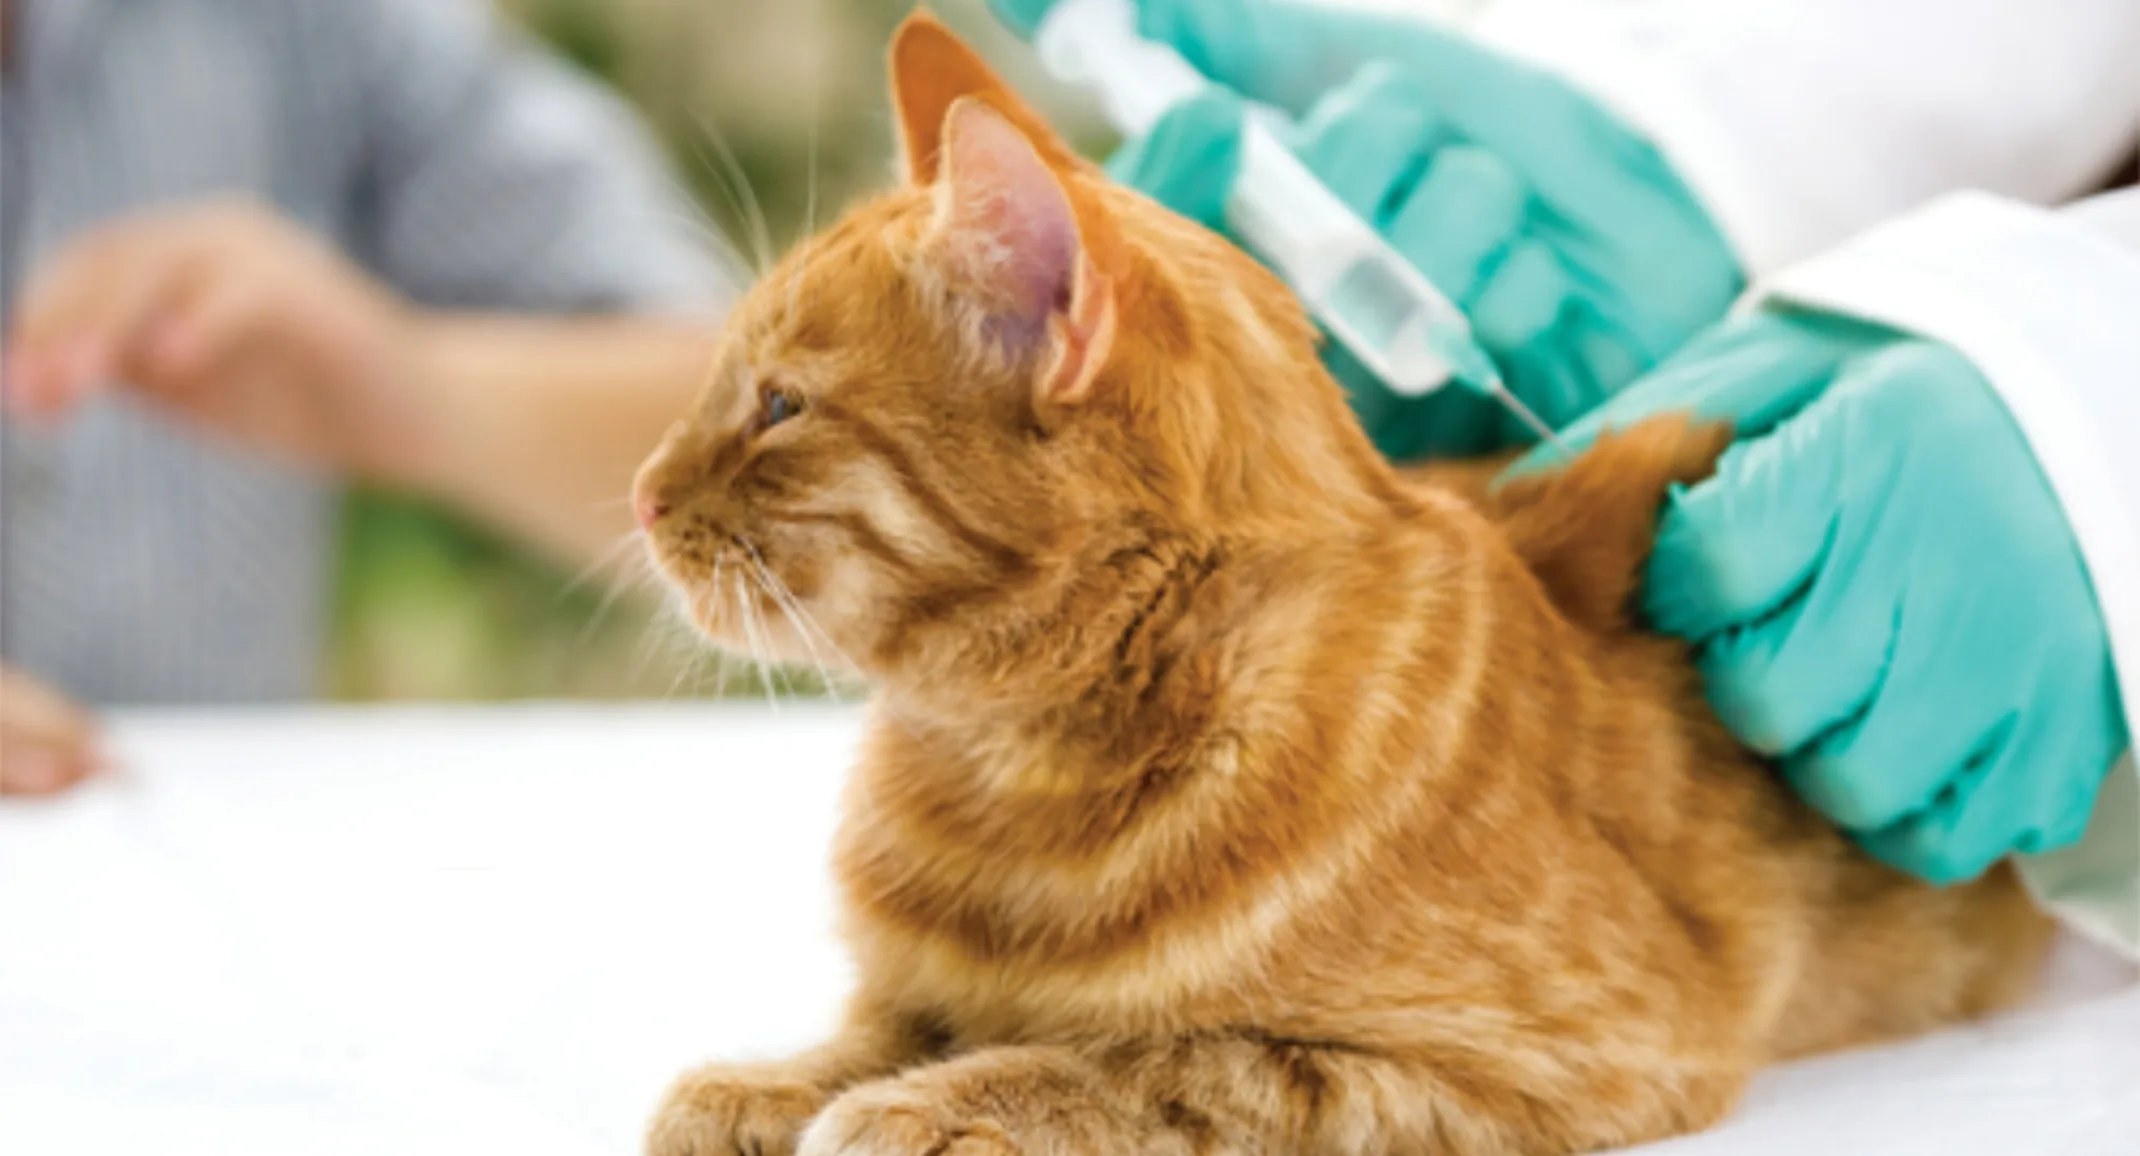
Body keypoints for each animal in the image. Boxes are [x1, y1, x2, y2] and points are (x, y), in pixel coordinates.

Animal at [624, 11, 2045, 1156]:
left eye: (778, 406)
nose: (639, 492)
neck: (1009, 779)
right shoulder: (914, 983)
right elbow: (886, 1022)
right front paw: (774, 1081)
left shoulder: (1555, 1056)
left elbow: (1160, 1063)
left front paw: (944, 1101)